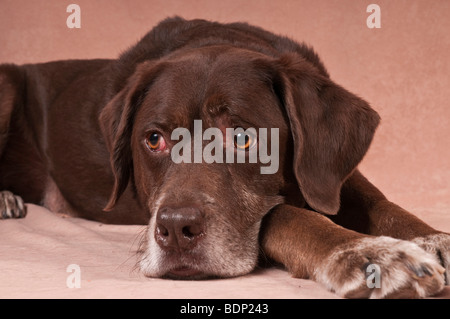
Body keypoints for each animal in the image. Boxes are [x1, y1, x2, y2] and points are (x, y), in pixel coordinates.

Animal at [0, 16, 450, 298]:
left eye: (244, 138)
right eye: (153, 139)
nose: (175, 229)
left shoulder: (325, 172)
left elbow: (378, 201)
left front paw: (431, 239)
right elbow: (285, 213)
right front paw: (365, 253)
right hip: (6, 81)